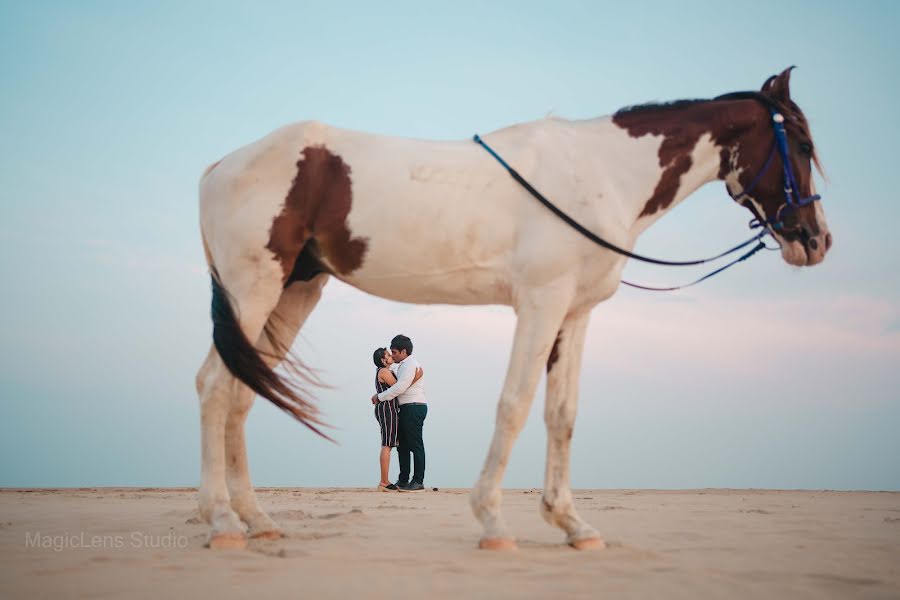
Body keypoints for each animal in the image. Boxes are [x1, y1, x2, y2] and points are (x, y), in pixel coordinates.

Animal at [195, 68, 828, 552]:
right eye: (801, 144)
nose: (816, 240)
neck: (601, 172)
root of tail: (219, 166)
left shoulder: (574, 314)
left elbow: (562, 414)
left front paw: (573, 525)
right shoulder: (541, 304)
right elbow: (515, 404)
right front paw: (495, 523)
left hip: (294, 291)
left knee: (242, 394)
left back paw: (257, 521)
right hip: (255, 289)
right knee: (215, 388)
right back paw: (222, 523)